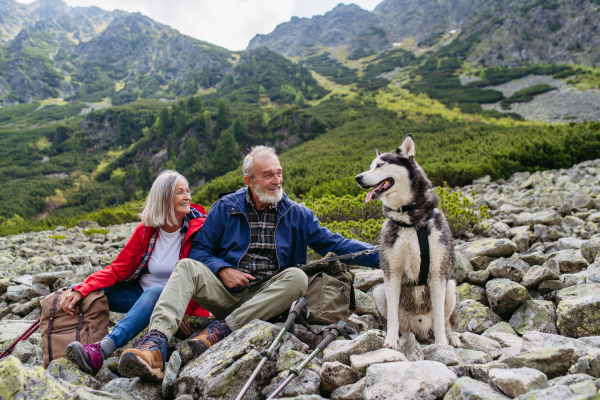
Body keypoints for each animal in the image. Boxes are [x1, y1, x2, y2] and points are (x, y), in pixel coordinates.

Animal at [354, 134, 458, 350]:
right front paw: (390, 341)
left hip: (451, 287)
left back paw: (451, 338)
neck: (410, 219)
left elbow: (439, 318)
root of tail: (419, 328)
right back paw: (402, 338)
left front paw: (442, 345)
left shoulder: (438, 273)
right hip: (379, 292)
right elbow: (393, 317)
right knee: (401, 324)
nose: (358, 178)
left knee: (445, 321)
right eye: (370, 166)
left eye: (380, 165)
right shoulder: (392, 272)